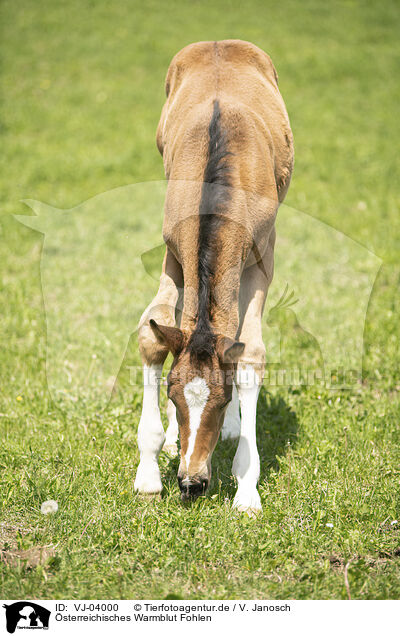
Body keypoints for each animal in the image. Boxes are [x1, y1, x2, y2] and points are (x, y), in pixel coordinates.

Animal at [133, 39, 292, 516]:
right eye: (172, 394)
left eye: (219, 403)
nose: (191, 482)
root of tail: (222, 41)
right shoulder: (173, 249)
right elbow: (153, 332)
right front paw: (150, 470)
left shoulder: (261, 256)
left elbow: (249, 352)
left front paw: (247, 489)